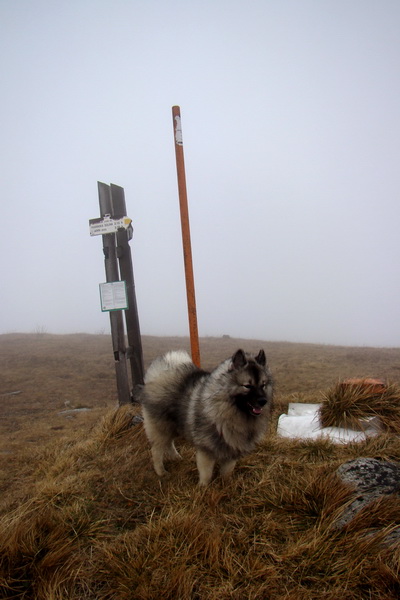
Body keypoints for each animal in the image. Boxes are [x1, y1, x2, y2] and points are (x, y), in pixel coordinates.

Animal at [140, 350, 272, 486]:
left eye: (263, 385)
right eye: (247, 386)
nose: (263, 401)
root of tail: (161, 372)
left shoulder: (232, 450)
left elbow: (227, 472)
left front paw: (225, 485)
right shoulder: (206, 451)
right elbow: (206, 473)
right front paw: (203, 487)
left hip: (174, 426)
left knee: (169, 443)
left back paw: (176, 457)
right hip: (160, 428)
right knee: (157, 450)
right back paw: (161, 471)